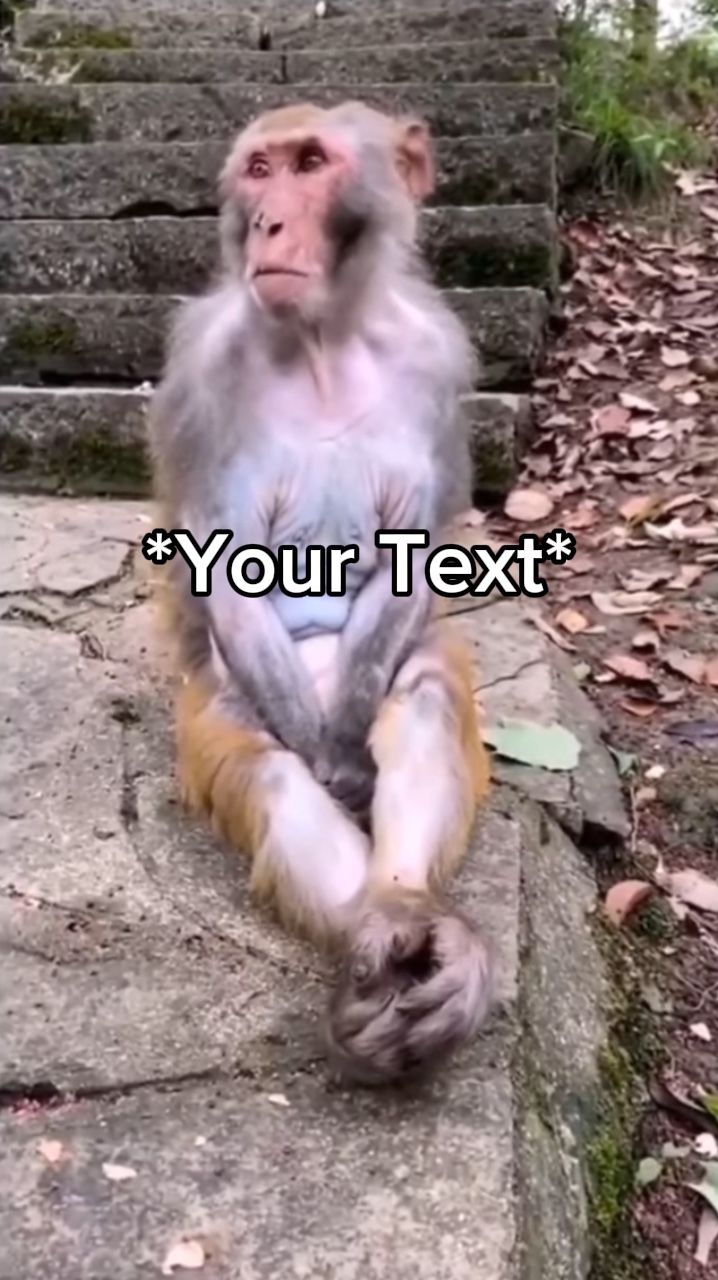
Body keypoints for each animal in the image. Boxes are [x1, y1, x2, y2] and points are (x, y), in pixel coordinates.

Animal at [148, 99, 495, 1086]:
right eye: (259, 169)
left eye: (311, 163)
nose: (268, 222)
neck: (322, 344)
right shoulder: (202, 369)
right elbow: (225, 572)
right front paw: (329, 774)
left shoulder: (435, 358)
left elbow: (412, 559)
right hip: (233, 700)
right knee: (267, 764)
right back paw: (364, 930)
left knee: (419, 689)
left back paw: (407, 913)